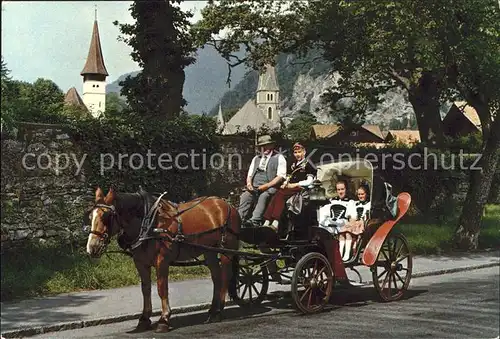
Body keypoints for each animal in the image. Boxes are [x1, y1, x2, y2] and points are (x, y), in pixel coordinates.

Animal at [85, 187, 241, 334]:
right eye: (90, 216)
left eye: (106, 216)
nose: (92, 247)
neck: (148, 223)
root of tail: (227, 205)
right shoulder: (140, 263)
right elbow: (146, 289)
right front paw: (144, 320)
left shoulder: (162, 261)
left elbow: (162, 289)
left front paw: (164, 320)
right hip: (210, 251)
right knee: (216, 277)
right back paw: (213, 311)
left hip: (226, 250)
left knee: (225, 276)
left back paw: (218, 311)